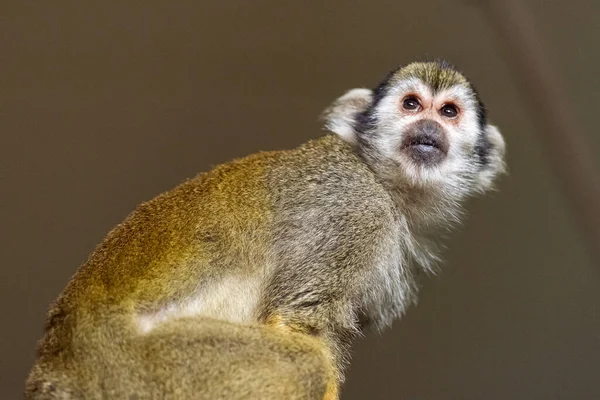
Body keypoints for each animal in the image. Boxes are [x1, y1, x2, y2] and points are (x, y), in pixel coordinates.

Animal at [27, 60, 506, 400]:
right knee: (302, 365)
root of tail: (62, 355)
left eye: (449, 112)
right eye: (411, 104)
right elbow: (297, 324)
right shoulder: (355, 212)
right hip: (140, 366)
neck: (383, 180)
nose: (429, 127)